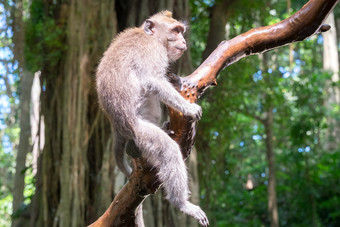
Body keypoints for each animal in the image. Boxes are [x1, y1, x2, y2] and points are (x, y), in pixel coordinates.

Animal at [94, 10, 209, 227]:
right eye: (175, 31)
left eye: (181, 31)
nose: (183, 40)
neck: (151, 37)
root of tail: (117, 127)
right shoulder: (151, 51)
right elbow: (153, 80)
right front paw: (189, 108)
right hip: (141, 131)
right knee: (169, 151)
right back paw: (182, 204)